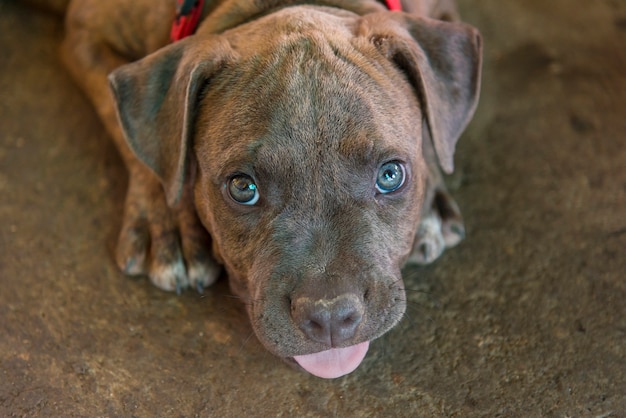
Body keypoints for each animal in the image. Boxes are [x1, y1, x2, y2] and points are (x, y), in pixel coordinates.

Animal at [57, 0, 478, 378]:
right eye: (243, 187)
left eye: (390, 175)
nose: (329, 315)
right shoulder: (85, 30)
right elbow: (131, 135)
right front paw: (169, 223)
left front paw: (432, 202)